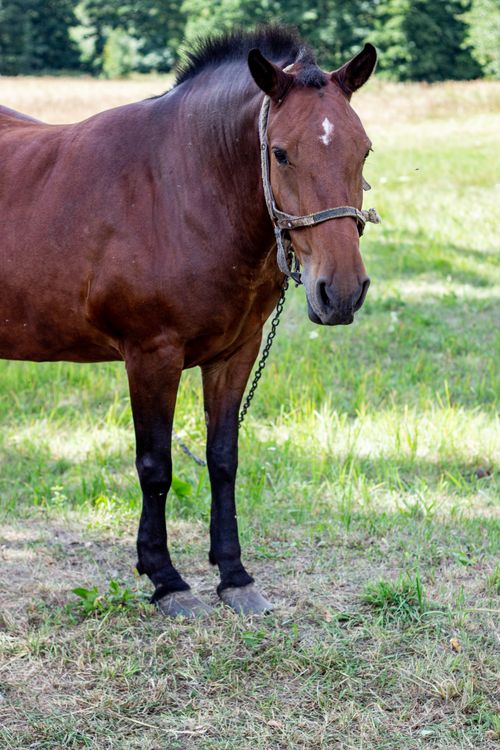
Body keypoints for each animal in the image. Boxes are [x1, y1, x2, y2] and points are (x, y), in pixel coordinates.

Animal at [0, 27, 378, 617]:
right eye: (280, 154)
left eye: (363, 150)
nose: (340, 292)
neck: (181, 190)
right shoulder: (151, 355)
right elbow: (155, 465)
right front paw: (166, 579)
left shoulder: (235, 354)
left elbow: (223, 458)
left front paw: (234, 575)